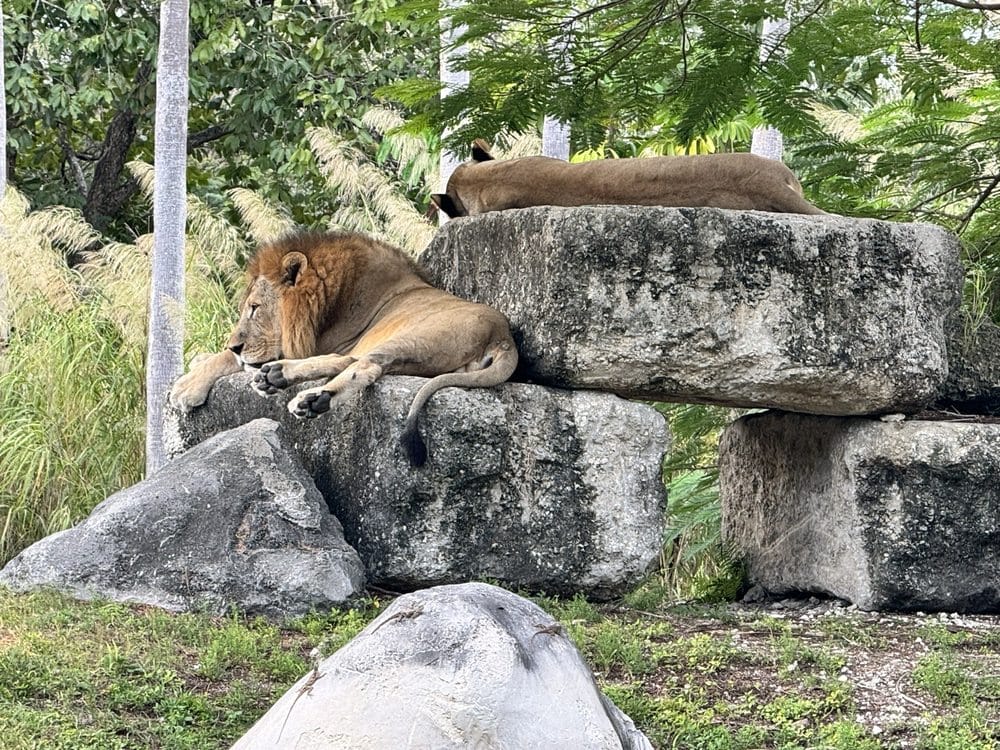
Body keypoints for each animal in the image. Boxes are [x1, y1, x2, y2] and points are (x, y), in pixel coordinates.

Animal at [168, 231, 518, 466]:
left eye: (254, 308)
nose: (236, 344)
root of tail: (503, 337)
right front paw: (202, 361)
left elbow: (231, 359)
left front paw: (186, 386)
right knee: (352, 362)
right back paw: (277, 379)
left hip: (413, 335)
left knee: (361, 364)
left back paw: (307, 395)